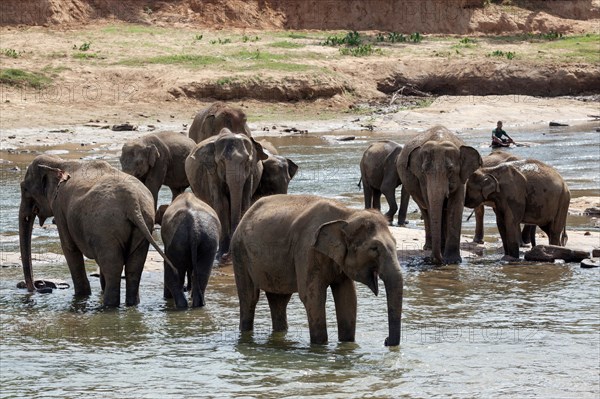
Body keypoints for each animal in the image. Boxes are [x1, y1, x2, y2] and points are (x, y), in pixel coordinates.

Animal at [18, 155, 172, 308]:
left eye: (24, 189)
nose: (39, 286)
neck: (59, 162)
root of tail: (132, 203)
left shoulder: (59, 208)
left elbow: (69, 248)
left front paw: (82, 296)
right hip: (143, 223)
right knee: (134, 267)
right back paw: (131, 305)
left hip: (106, 228)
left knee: (113, 267)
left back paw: (108, 306)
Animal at [184, 128, 266, 260]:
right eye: (222, 161)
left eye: (247, 161)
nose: (227, 256)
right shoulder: (212, 172)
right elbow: (222, 203)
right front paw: (220, 255)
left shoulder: (250, 174)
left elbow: (244, 201)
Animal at [230, 195, 404, 346]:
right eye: (374, 248)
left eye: (396, 243)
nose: (386, 340)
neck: (347, 214)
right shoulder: (307, 250)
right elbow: (312, 297)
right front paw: (320, 346)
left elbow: (348, 297)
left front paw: (347, 344)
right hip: (239, 252)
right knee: (249, 297)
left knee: (279, 300)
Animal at [396, 127, 480, 266]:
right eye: (424, 171)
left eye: (450, 170)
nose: (436, 261)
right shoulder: (422, 180)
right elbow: (430, 203)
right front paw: (443, 257)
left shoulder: (461, 178)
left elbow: (455, 205)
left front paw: (452, 261)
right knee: (425, 211)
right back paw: (429, 247)